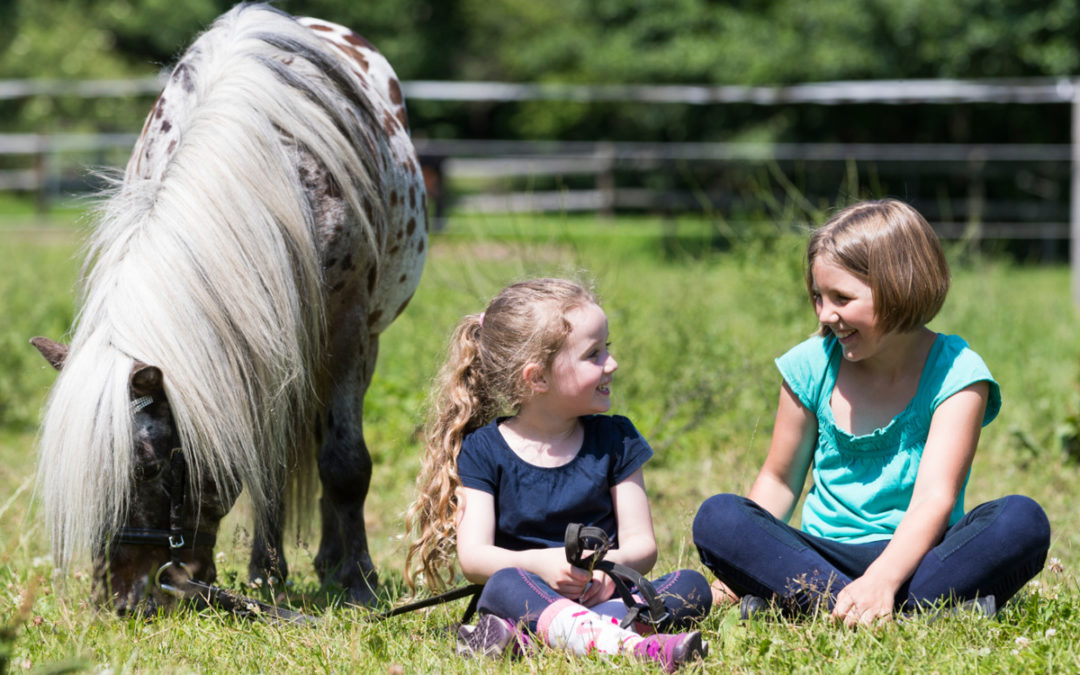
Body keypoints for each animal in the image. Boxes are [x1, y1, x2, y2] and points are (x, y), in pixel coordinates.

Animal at [30, 2, 425, 609]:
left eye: (149, 468)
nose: (123, 600)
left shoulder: (347, 334)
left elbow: (345, 463)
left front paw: (359, 581)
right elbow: (266, 466)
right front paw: (267, 575)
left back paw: (334, 564)